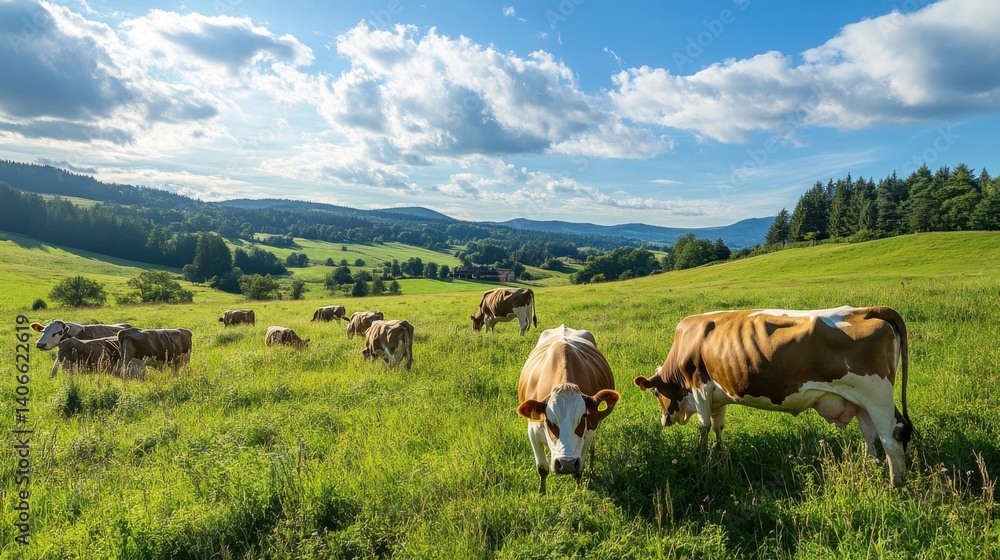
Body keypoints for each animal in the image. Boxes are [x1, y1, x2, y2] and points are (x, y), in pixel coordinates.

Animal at [516, 325, 620, 494]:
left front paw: (578, 491)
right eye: (549, 421)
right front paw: (542, 493)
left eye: (583, 417)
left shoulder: (588, 433)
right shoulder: (532, 429)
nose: (566, 464)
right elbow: (542, 468)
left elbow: (579, 469)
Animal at [633, 306, 914, 488]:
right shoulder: (717, 394)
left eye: (656, 392)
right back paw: (871, 468)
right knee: (871, 436)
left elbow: (703, 426)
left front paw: (701, 457)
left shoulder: (699, 387)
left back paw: (895, 485)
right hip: (862, 401)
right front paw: (719, 452)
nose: (663, 420)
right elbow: (718, 425)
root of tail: (865, 309)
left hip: (877, 396)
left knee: (891, 439)